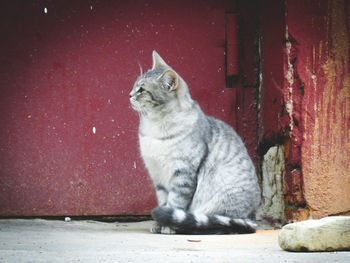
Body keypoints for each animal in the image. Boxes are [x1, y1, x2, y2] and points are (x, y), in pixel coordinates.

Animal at [130, 51, 262, 235]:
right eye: (135, 85)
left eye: (141, 90)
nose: (129, 95)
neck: (156, 126)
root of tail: (252, 218)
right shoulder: (158, 176)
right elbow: (163, 201)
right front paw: (159, 224)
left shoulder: (183, 173)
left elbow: (174, 203)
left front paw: (167, 225)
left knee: (217, 223)